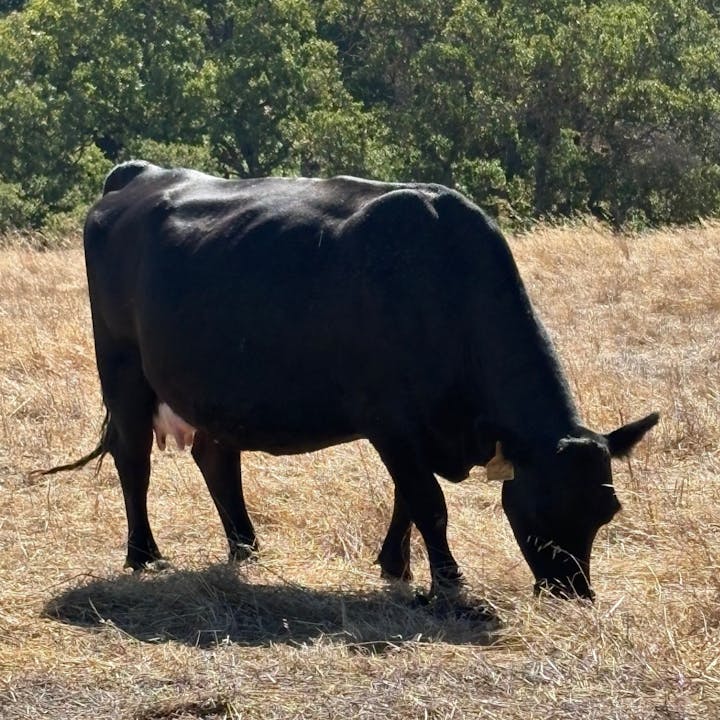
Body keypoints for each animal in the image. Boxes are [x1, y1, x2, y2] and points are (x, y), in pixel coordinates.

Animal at [45, 160, 658, 602]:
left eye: (605, 513)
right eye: (544, 502)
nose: (575, 594)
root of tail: (140, 175)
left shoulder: (421, 432)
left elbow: (407, 500)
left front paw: (395, 566)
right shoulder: (392, 423)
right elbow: (429, 501)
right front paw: (448, 582)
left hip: (214, 389)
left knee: (216, 460)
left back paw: (247, 549)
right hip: (122, 369)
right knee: (133, 461)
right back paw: (143, 555)